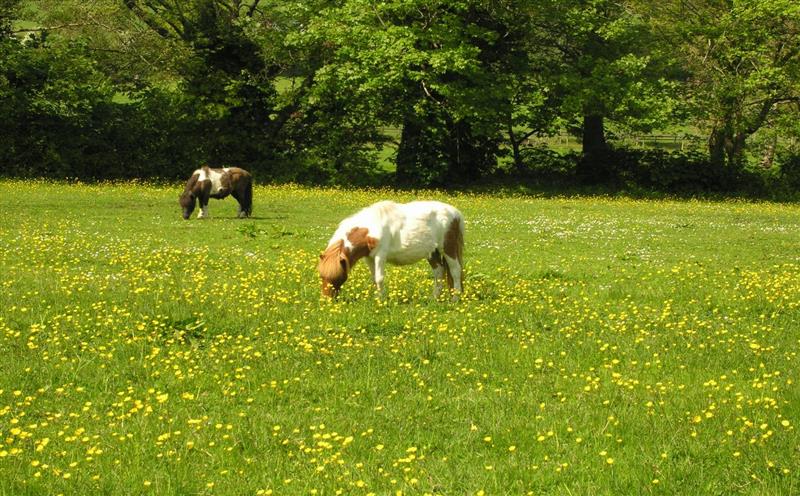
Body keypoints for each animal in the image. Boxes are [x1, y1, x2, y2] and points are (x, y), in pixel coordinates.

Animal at [316, 201, 462, 298]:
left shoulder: (380, 255)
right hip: (432, 252)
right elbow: (374, 278)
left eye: (339, 276)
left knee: (455, 271)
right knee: (439, 271)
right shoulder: (369, 258)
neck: (371, 229)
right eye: (322, 276)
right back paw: (435, 297)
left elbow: (379, 278)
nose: (327, 299)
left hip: (448, 249)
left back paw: (455, 298)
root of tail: (456, 213)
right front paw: (377, 298)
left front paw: (381, 300)